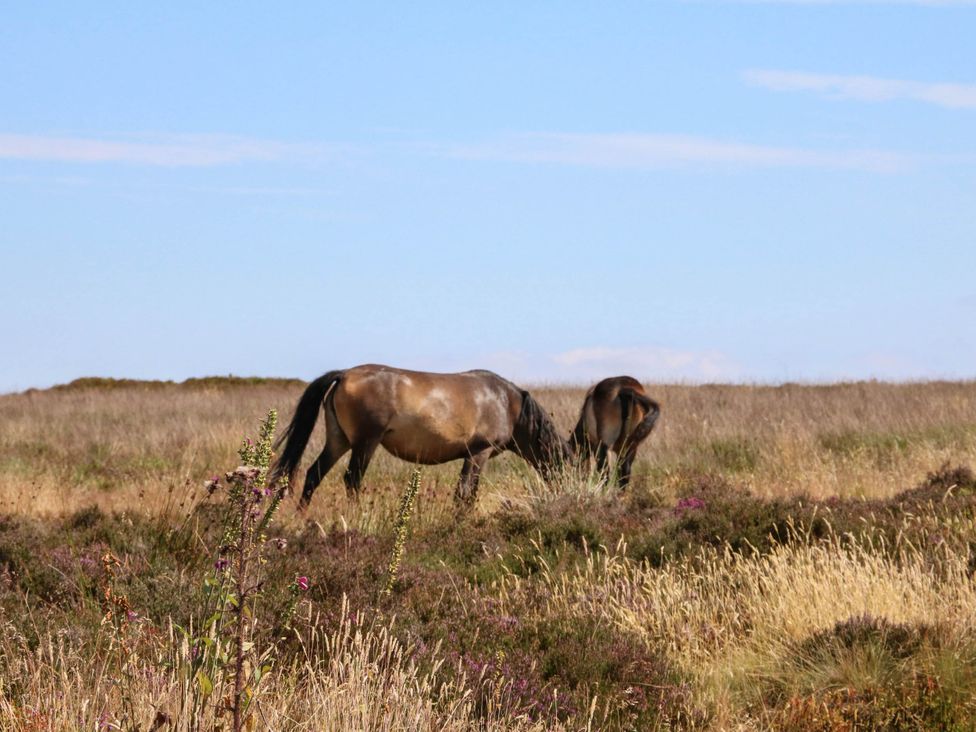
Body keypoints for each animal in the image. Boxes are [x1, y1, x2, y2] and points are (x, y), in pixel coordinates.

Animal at [270, 364, 569, 508]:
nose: (565, 493)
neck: (508, 404)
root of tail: (344, 375)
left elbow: (464, 493)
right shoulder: (479, 453)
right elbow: (466, 493)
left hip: (339, 441)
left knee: (314, 475)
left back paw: (303, 515)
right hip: (365, 443)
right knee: (352, 479)